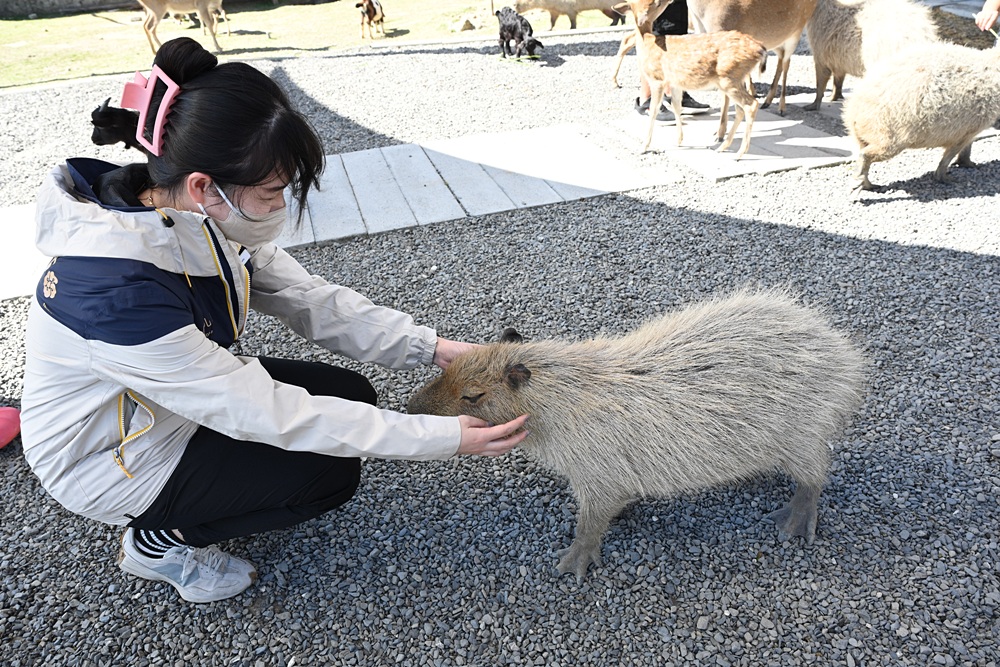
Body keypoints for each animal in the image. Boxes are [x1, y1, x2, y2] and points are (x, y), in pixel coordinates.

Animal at [629, 0, 766, 158]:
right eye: (655, 4)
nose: (669, 1)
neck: (647, 43)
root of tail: (760, 49)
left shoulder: (657, 79)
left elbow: (653, 111)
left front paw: (643, 148)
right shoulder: (674, 83)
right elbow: (677, 106)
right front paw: (678, 141)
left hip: (728, 79)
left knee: (751, 105)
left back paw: (738, 154)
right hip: (737, 78)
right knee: (740, 108)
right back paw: (722, 147)